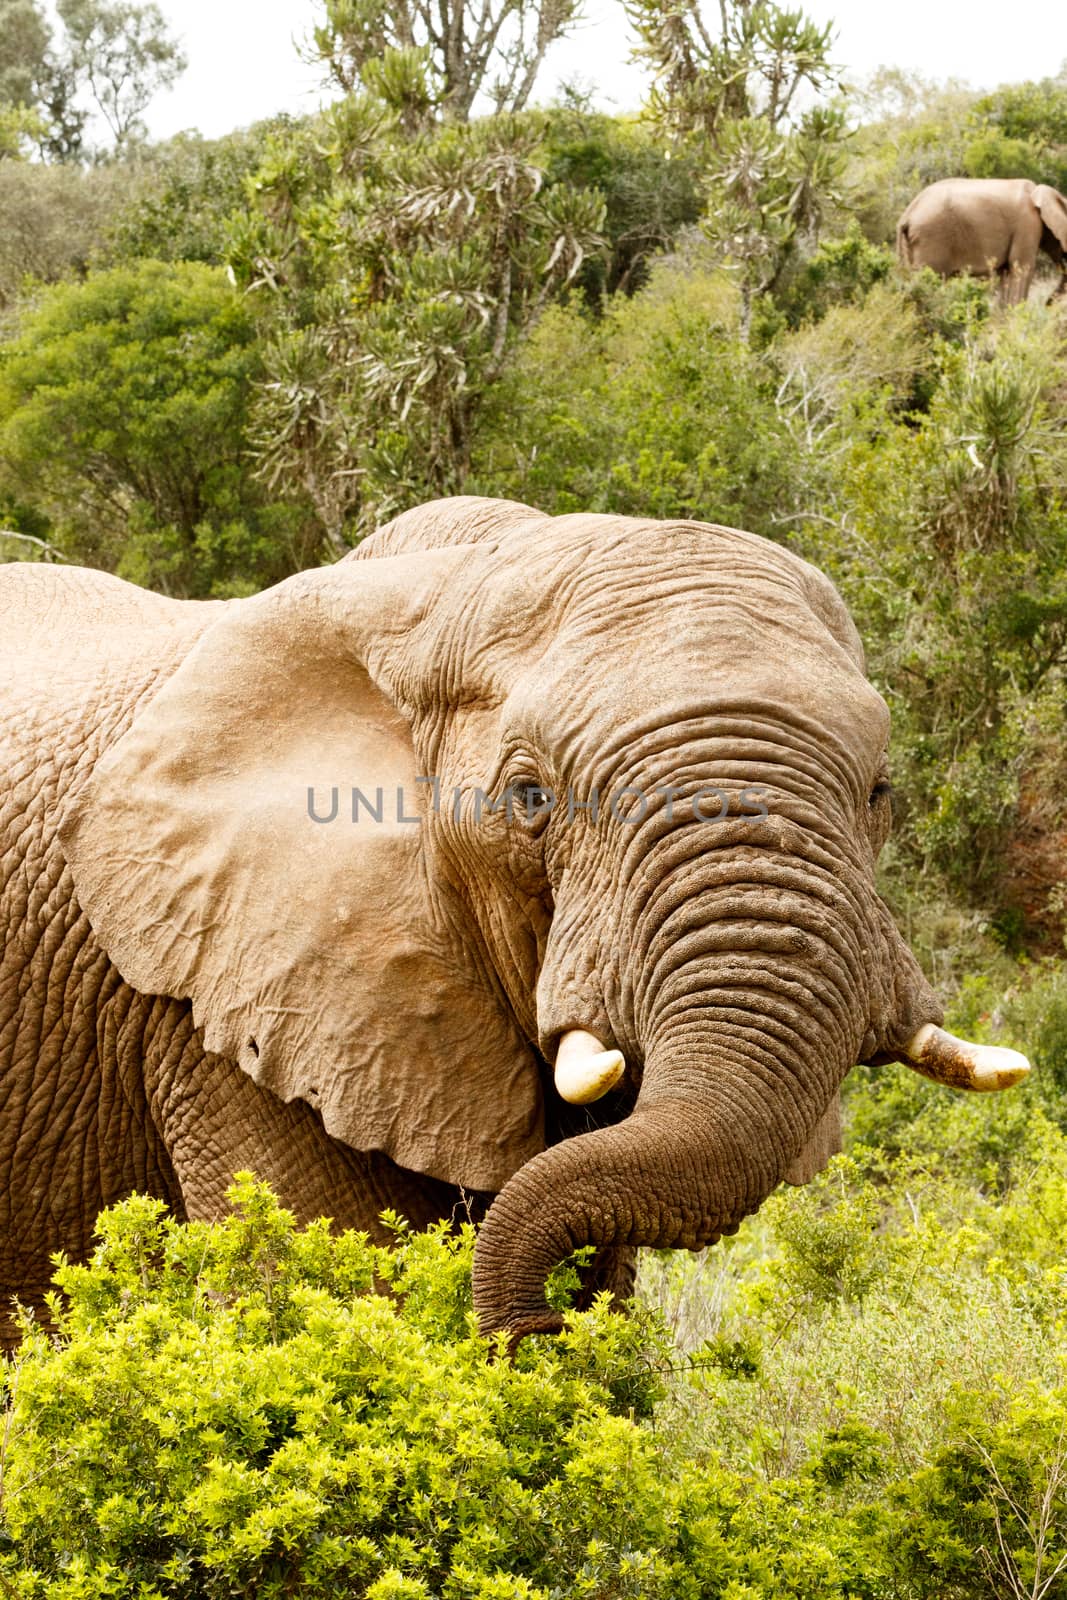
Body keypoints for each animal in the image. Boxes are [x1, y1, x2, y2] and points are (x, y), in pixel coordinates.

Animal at [895, 180, 1067, 307]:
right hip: (932, 237)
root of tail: (907, 215)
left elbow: (1005, 274)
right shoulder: (1027, 224)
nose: (1047, 303)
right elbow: (1021, 269)